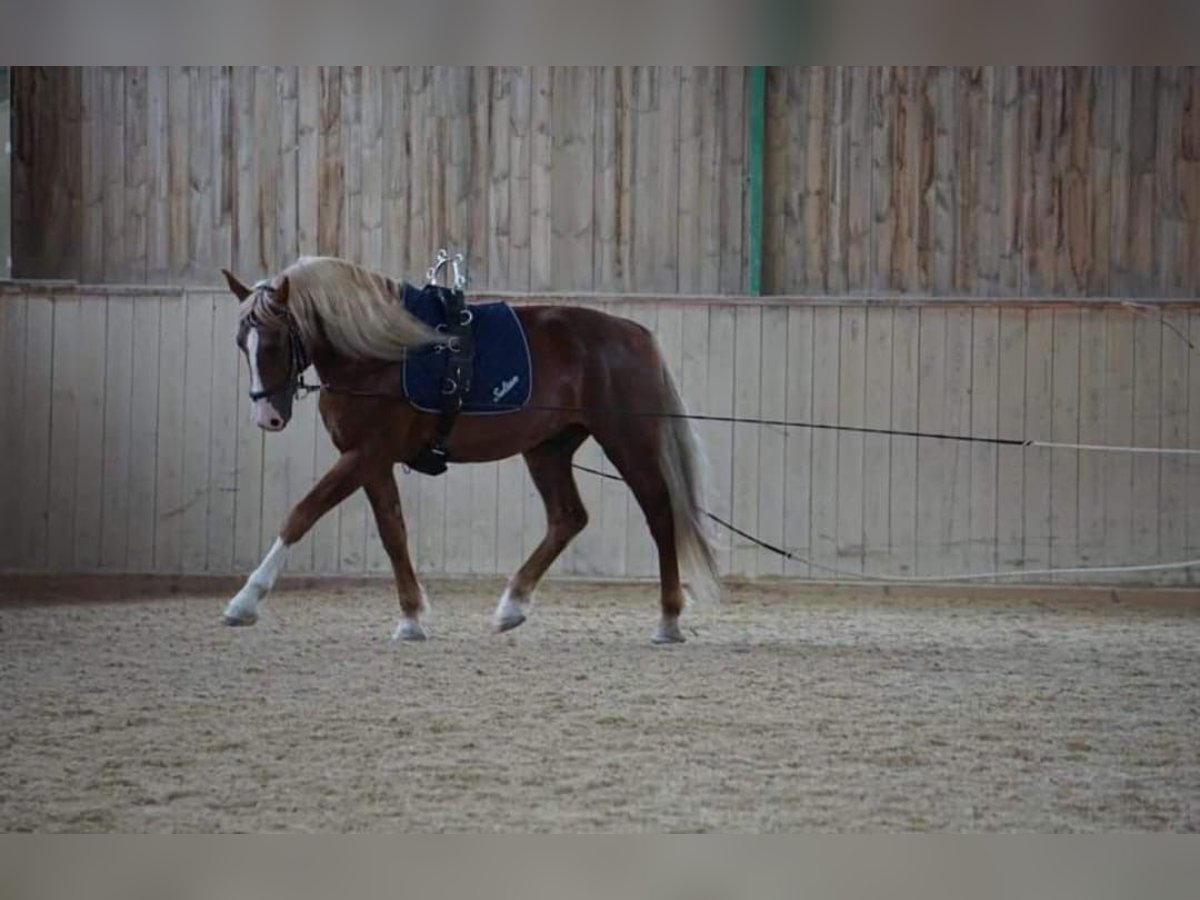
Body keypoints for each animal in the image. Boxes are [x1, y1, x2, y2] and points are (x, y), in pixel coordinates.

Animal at [219, 256, 715, 643]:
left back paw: (668, 620)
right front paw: (411, 619)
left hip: (627, 439)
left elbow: (302, 513)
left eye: (276, 341)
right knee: (568, 517)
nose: (267, 417)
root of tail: (635, 334)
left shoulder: (365, 455)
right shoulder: (371, 460)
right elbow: (393, 532)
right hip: (547, 448)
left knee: (659, 513)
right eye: (241, 342)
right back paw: (512, 607)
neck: (380, 354)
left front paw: (244, 602)